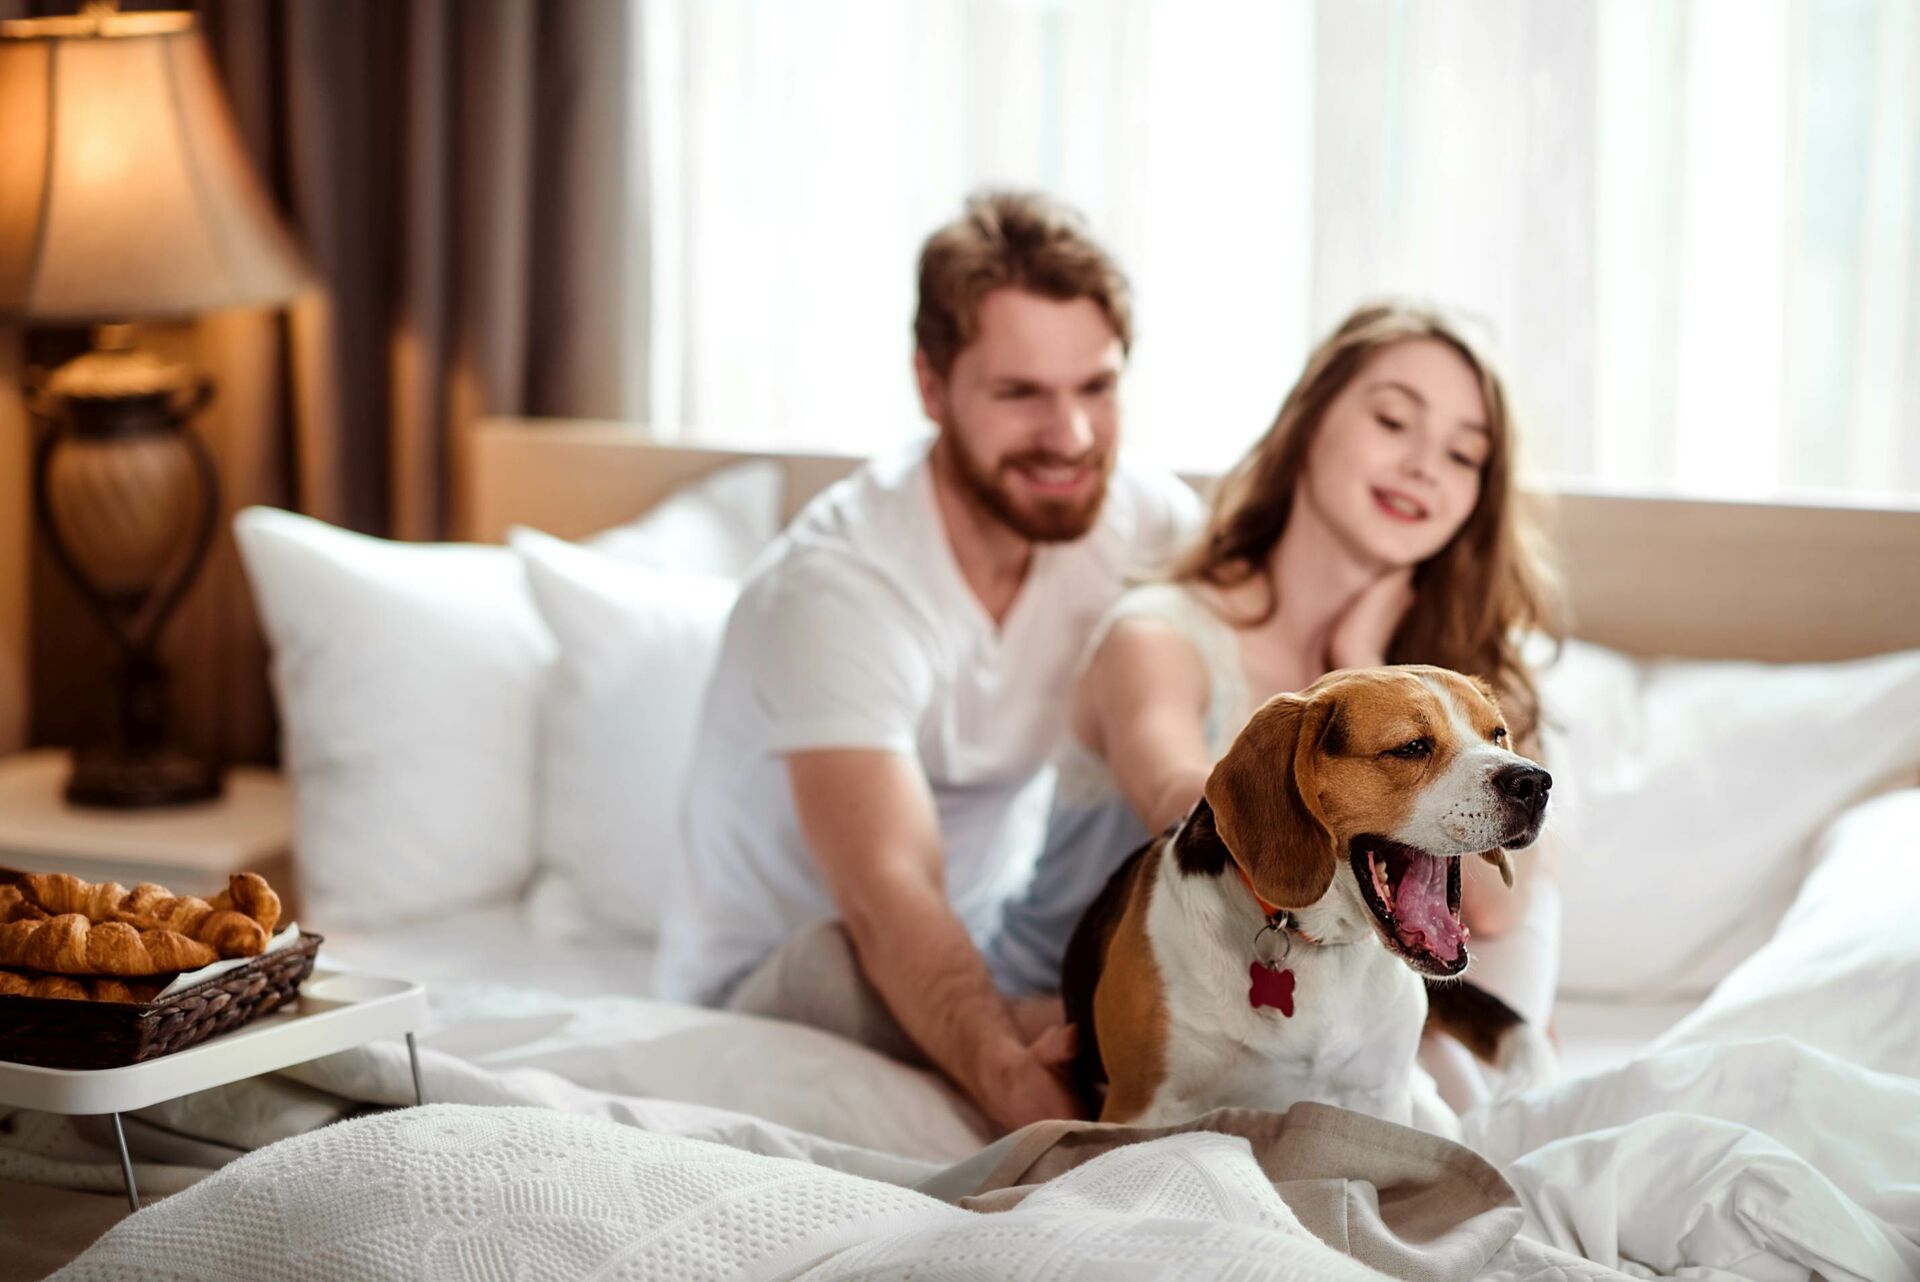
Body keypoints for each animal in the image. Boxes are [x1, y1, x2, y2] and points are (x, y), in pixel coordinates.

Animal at [1067, 667, 1559, 1136]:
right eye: (1412, 747)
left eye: (1497, 734)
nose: (1534, 781)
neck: (1322, 945)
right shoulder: (1141, 1109)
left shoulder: (1380, 1098)